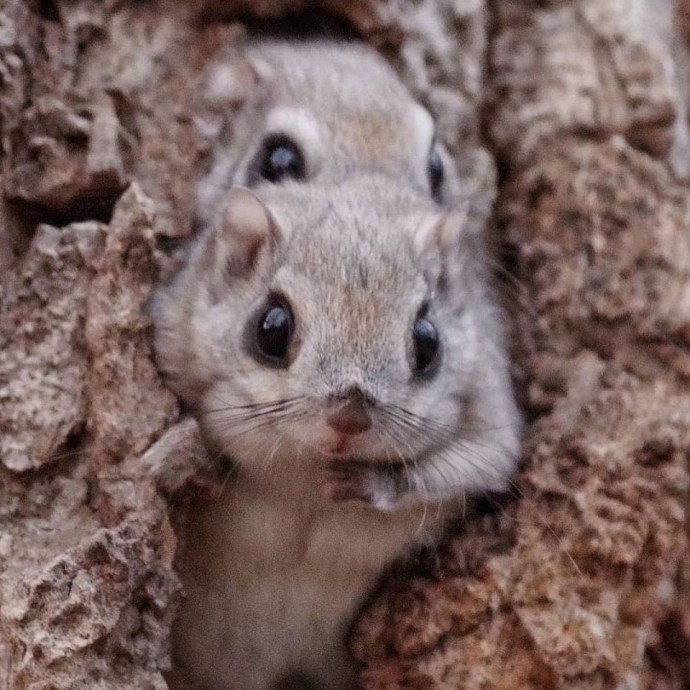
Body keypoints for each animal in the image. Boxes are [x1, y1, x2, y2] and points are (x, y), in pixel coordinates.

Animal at [150, 39, 516, 688]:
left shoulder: (491, 392)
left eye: (428, 342)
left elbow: (485, 460)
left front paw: (373, 483)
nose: (349, 417)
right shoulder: (173, 326)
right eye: (271, 330)